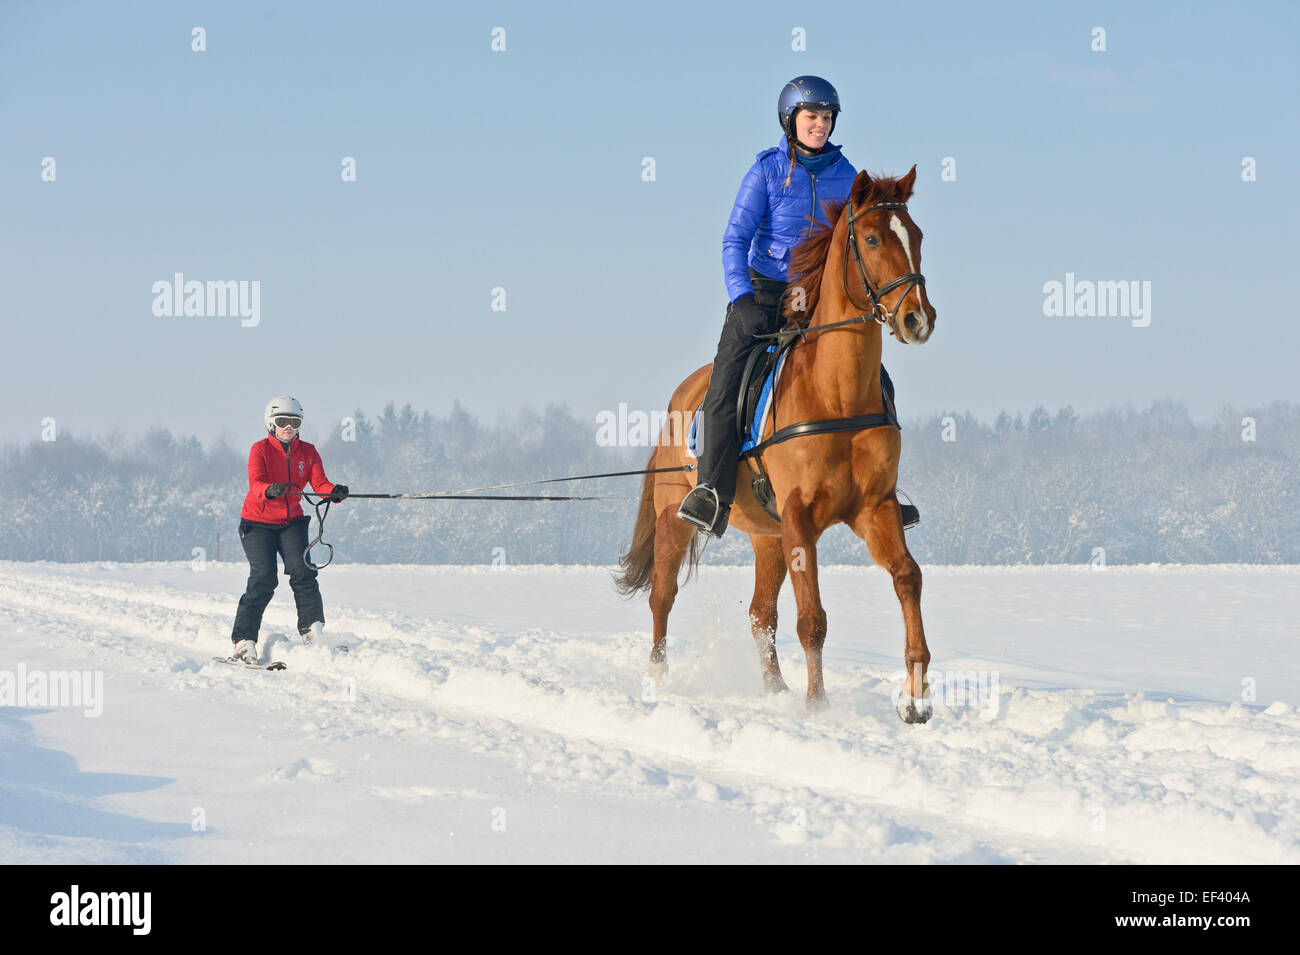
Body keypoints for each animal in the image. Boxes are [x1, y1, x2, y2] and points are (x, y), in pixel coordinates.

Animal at [616, 167, 935, 722]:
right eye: (873, 239)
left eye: (915, 236)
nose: (918, 319)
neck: (837, 395)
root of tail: (682, 393)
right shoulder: (800, 517)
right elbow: (813, 618)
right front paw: (817, 707)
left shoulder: (874, 509)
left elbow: (907, 577)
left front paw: (915, 697)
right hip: (675, 517)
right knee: (662, 597)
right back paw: (658, 682)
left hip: (767, 536)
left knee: (760, 612)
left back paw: (775, 690)